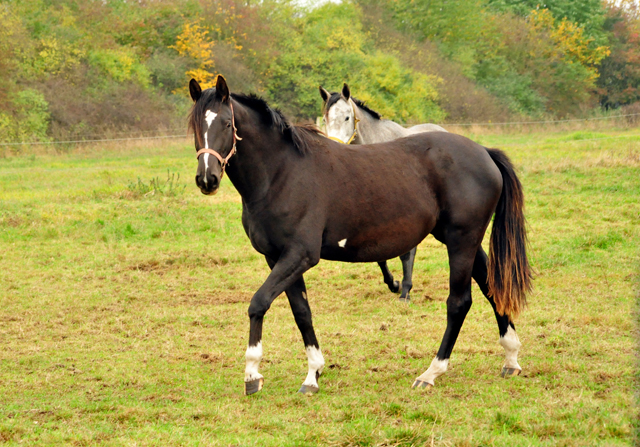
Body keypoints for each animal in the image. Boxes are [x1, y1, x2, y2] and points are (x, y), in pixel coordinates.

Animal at [188, 76, 532, 396]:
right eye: (195, 124)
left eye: (227, 123)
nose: (207, 179)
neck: (281, 173)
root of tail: (484, 152)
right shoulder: (278, 258)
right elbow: (302, 312)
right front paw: (313, 373)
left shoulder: (299, 255)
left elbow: (258, 303)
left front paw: (252, 374)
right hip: (462, 241)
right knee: (491, 286)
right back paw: (511, 358)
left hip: (462, 241)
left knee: (459, 302)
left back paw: (431, 372)